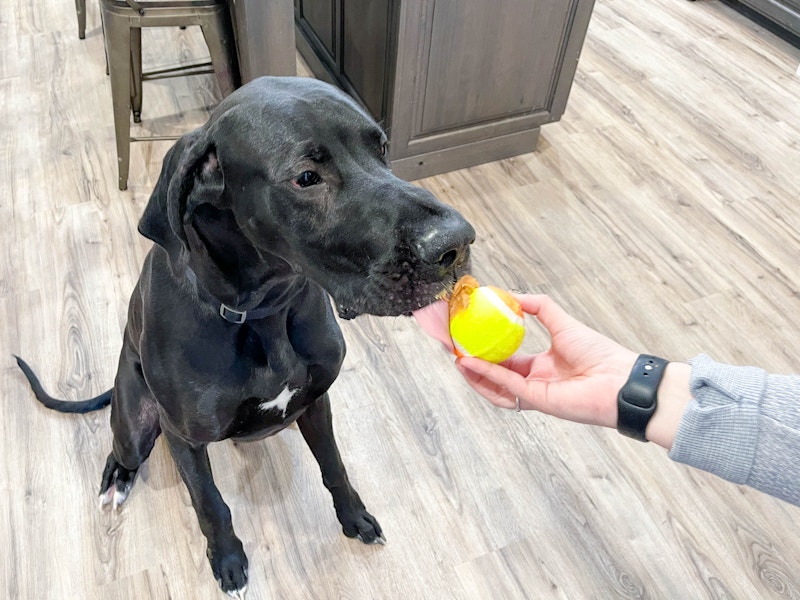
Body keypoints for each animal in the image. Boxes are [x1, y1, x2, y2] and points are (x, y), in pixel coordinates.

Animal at [15, 77, 472, 596]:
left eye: (382, 148)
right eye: (306, 178)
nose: (456, 244)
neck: (264, 310)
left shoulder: (316, 400)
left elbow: (334, 465)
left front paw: (354, 517)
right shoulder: (185, 439)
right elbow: (210, 504)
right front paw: (228, 560)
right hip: (136, 421)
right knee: (121, 449)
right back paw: (117, 478)